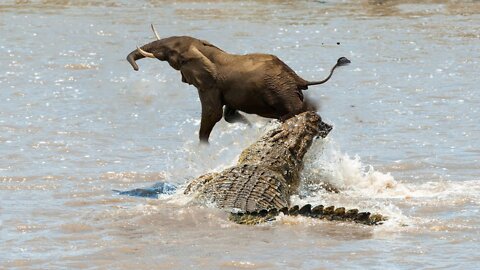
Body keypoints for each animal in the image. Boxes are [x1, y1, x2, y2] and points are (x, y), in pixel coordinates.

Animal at [125, 25, 348, 143]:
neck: (205, 49)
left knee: (292, 112)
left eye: (172, 53)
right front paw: (248, 127)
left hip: (281, 91)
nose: (135, 69)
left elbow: (213, 114)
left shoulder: (210, 85)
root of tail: (298, 78)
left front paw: (203, 146)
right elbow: (227, 114)